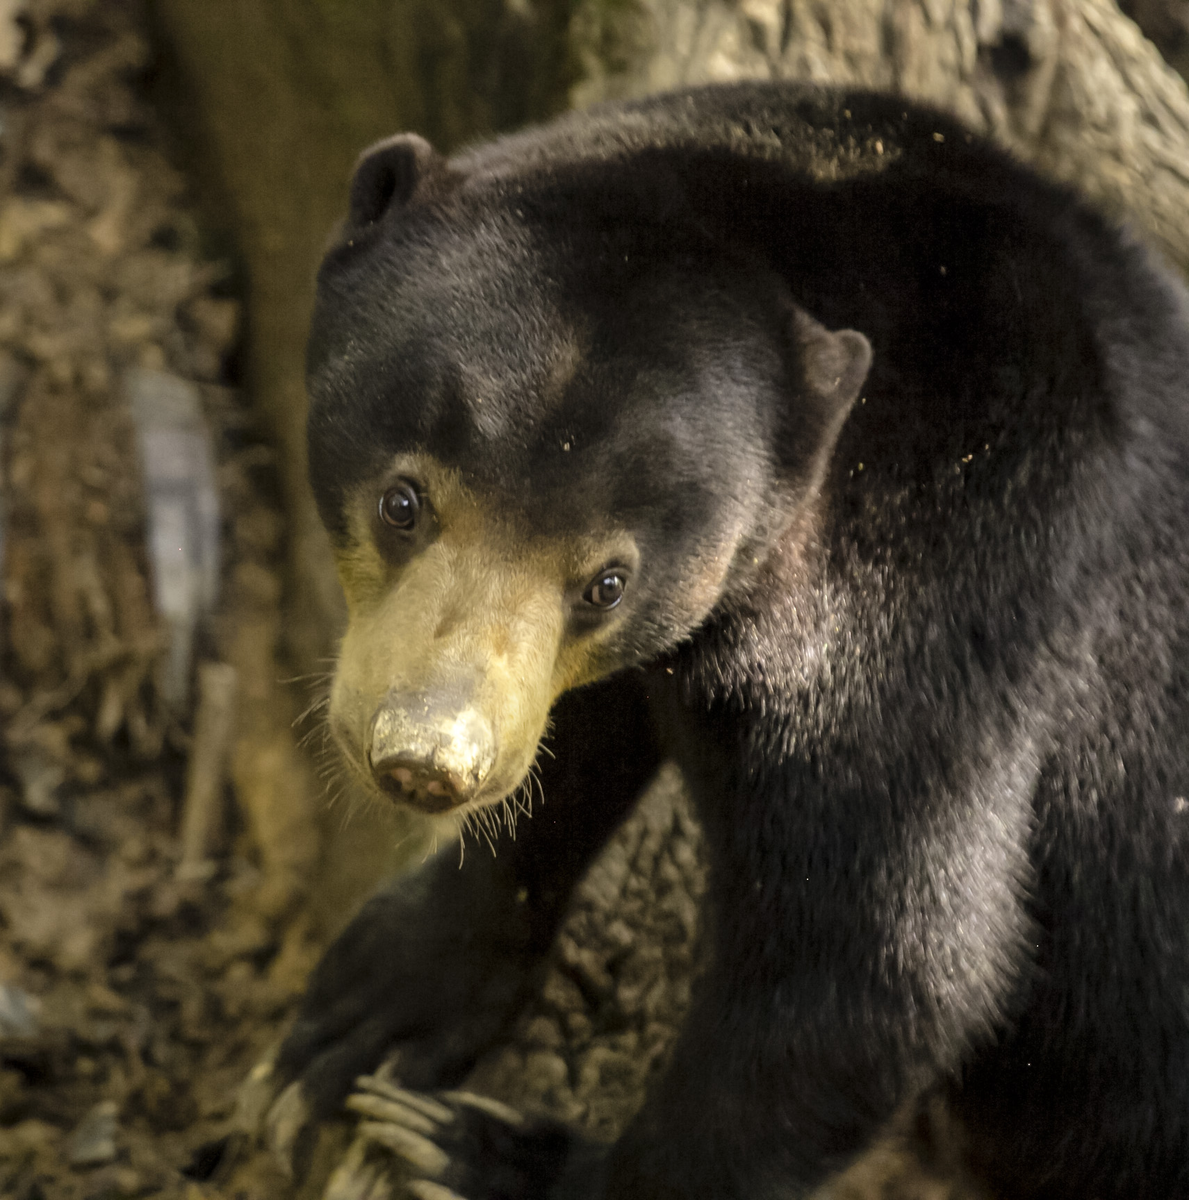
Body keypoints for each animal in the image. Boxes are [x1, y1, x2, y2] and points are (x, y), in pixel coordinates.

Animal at [257, 87, 1189, 1200]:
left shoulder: (952, 588)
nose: (426, 760)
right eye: (403, 501)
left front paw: (482, 1151)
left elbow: (876, 962)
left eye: (606, 581)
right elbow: (577, 744)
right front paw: (371, 1015)